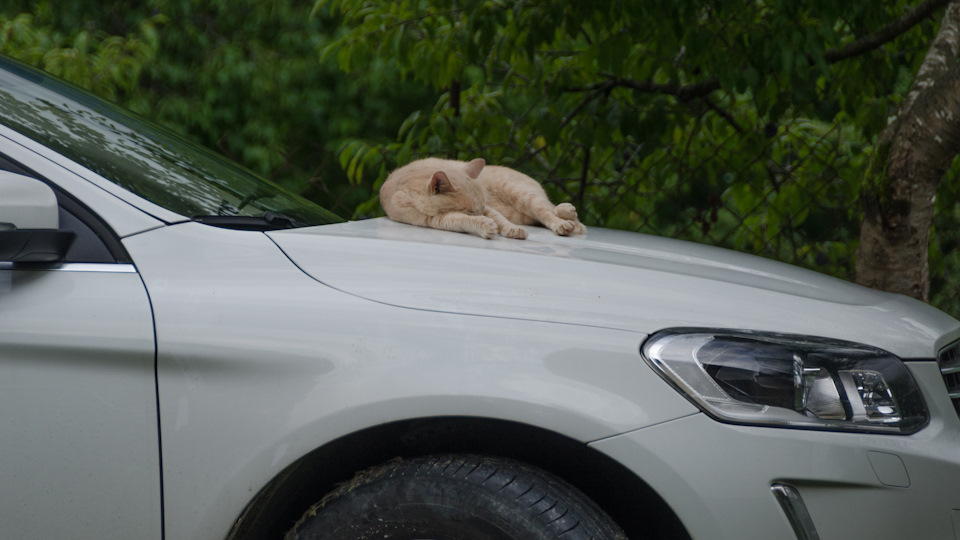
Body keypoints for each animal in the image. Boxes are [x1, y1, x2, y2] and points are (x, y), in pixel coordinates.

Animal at [379, 157, 586, 240]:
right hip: (522, 211)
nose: (481, 214)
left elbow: (500, 219)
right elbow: (462, 220)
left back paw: (565, 220)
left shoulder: (489, 208)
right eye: (470, 211)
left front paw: (511, 230)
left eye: (479, 208)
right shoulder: (436, 220)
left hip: (522, 195)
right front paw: (486, 225)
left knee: (549, 211)